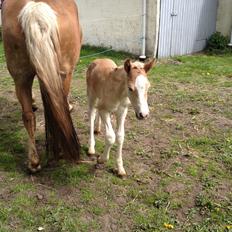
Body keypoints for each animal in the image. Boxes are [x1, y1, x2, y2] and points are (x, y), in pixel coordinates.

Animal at [1, 0, 82, 171]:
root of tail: (35, 8)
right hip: (63, 73)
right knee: (59, 107)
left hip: (21, 77)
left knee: (28, 116)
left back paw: (33, 161)